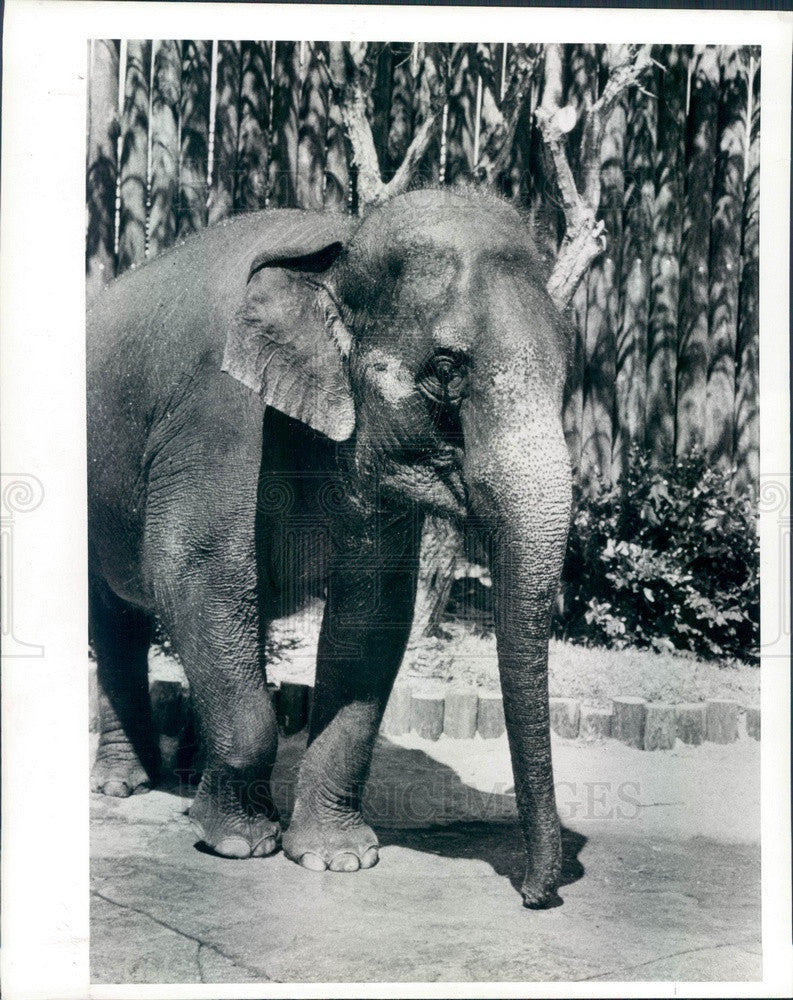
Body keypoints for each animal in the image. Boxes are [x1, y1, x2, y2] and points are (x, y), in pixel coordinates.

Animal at [88, 188, 568, 908]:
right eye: (446, 370)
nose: (538, 896)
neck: (341, 244)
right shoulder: (216, 416)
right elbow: (195, 572)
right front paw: (236, 843)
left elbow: (372, 613)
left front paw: (335, 859)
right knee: (117, 615)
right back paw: (124, 785)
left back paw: (185, 775)